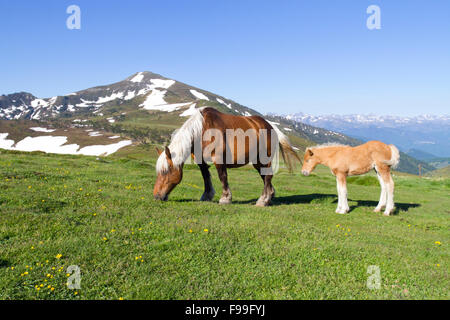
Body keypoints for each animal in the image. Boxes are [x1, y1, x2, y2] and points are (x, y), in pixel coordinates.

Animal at [154, 107, 298, 206]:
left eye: (165, 171)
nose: (156, 196)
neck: (202, 130)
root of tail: (270, 126)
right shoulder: (201, 162)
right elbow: (205, 177)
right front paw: (207, 195)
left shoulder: (219, 159)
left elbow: (222, 177)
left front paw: (225, 198)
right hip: (257, 161)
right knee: (265, 176)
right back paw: (270, 195)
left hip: (264, 158)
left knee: (267, 176)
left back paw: (263, 200)